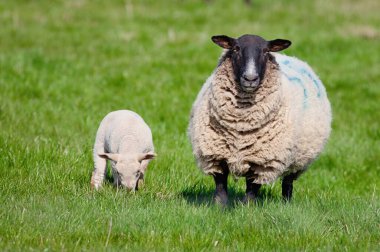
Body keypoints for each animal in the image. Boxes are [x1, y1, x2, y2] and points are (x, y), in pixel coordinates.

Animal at [189, 34, 332, 205]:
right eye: (235, 48)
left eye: (265, 51)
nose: (250, 78)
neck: (241, 124)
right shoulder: (215, 154)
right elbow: (220, 187)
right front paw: (220, 207)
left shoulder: (263, 161)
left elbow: (252, 189)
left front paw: (247, 208)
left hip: (298, 160)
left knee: (288, 182)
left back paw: (286, 203)